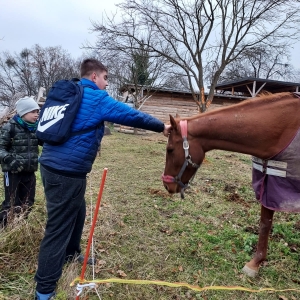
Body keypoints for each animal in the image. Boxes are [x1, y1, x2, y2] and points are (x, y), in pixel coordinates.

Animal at [163, 91, 300, 276]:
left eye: (170, 149)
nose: (166, 185)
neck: (284, 129)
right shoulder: (269, 181)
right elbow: (265, 223)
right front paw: (255, 263)